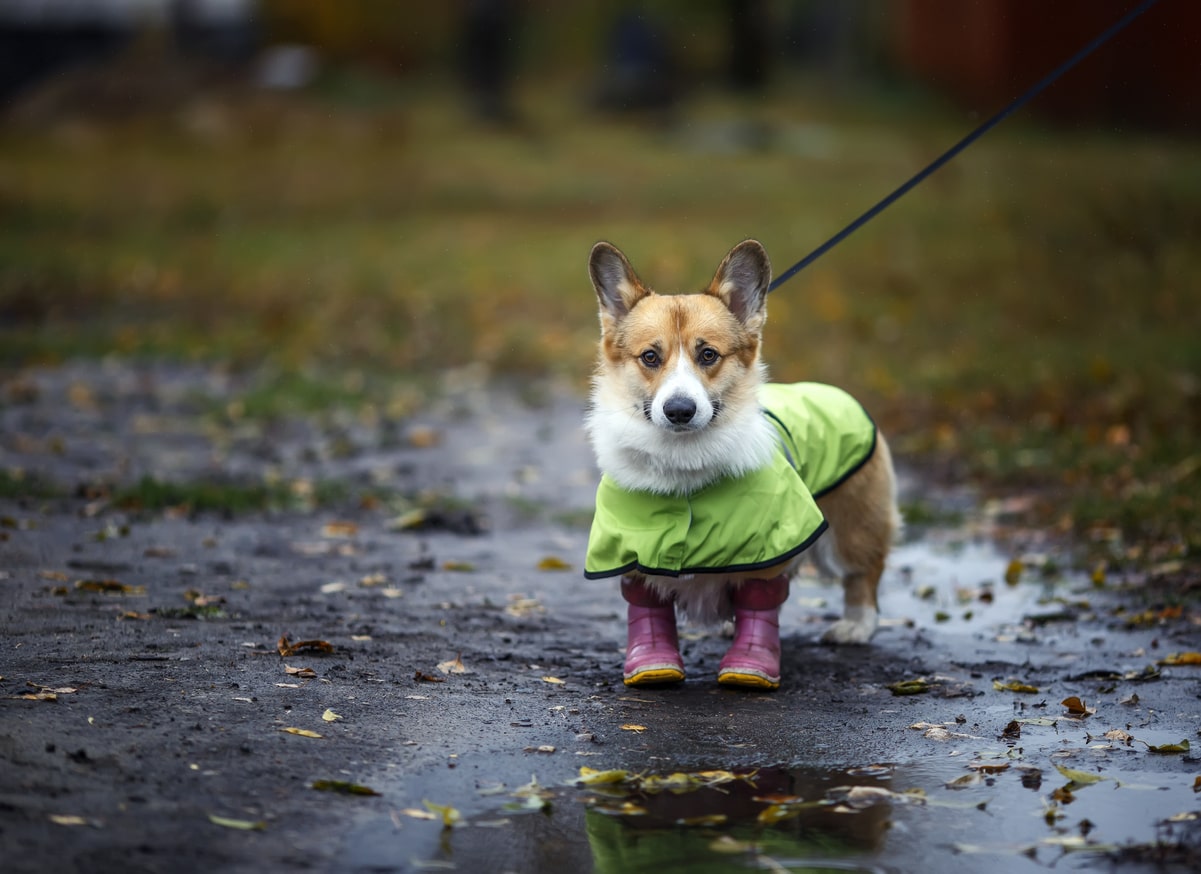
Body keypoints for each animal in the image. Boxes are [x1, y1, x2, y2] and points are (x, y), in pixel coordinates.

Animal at [581, 238, 903, 691]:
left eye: (708, 354)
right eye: (650, 357)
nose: (679, 410)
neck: (683, 465)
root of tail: (834, 390)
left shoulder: (772, 545)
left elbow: (761, 602)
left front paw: (751, 664)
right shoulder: (633, 553)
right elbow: (647, 607)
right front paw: (652, 662)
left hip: (851, 526)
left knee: (865, 571)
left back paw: (856, 626)